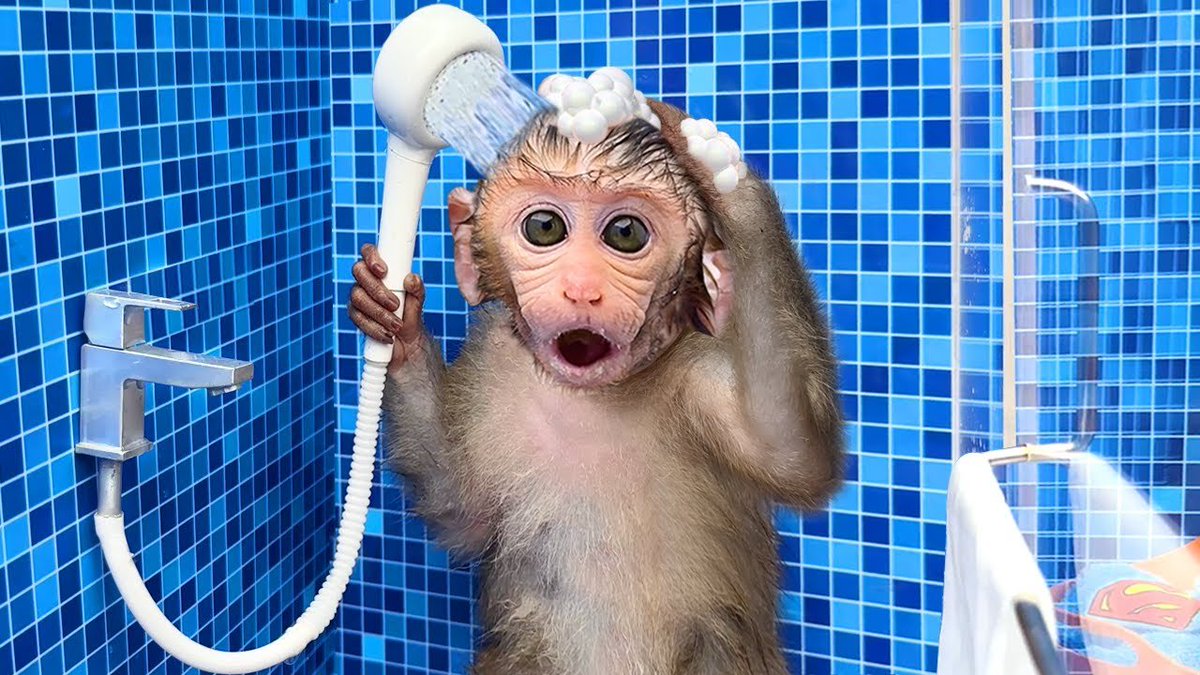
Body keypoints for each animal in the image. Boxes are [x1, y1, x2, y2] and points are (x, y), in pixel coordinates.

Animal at [347, 90, 844, 674]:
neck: (589, 396)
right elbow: (461, 507)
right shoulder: (492, 363)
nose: (582, 289)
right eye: (544, 228)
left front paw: (727, 182)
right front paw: (396, 323)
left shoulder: (696, 374)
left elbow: (788, 451)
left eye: (625, 234)